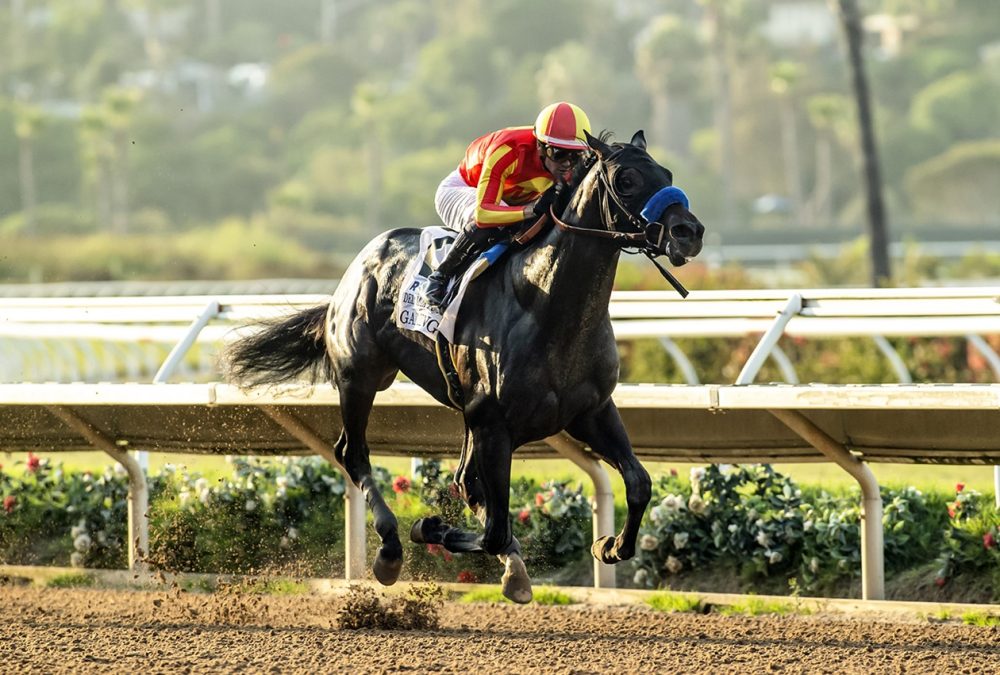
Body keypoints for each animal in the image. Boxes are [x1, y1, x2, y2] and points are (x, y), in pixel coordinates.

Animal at [226, 131, 704, 604]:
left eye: (667, 174)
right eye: (625, 180)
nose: (689, 232)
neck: (547, 305)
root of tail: (356, 268)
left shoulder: (590, 412)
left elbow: (638, 482)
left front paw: (609, 546)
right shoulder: (492, 422)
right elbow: (493, 530)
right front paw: (429, 526)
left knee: (464, 480)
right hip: (360, 377)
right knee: (354, 453)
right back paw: (391, 549)